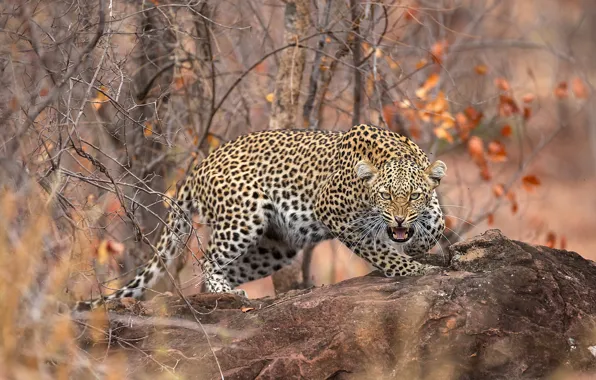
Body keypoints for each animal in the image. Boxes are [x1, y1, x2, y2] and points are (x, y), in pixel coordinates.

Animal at [75, 123, 448, 310]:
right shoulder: (334, 213)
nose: (399, 221)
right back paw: (225, 292)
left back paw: (219, 294)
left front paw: (420, 245)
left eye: (413, 196)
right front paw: (414, 269)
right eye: (385, 196)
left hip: (276, 246)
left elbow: (436, 220)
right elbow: (380, 251)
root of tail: (199, 167)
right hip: (244, 217)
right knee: (207, 259)